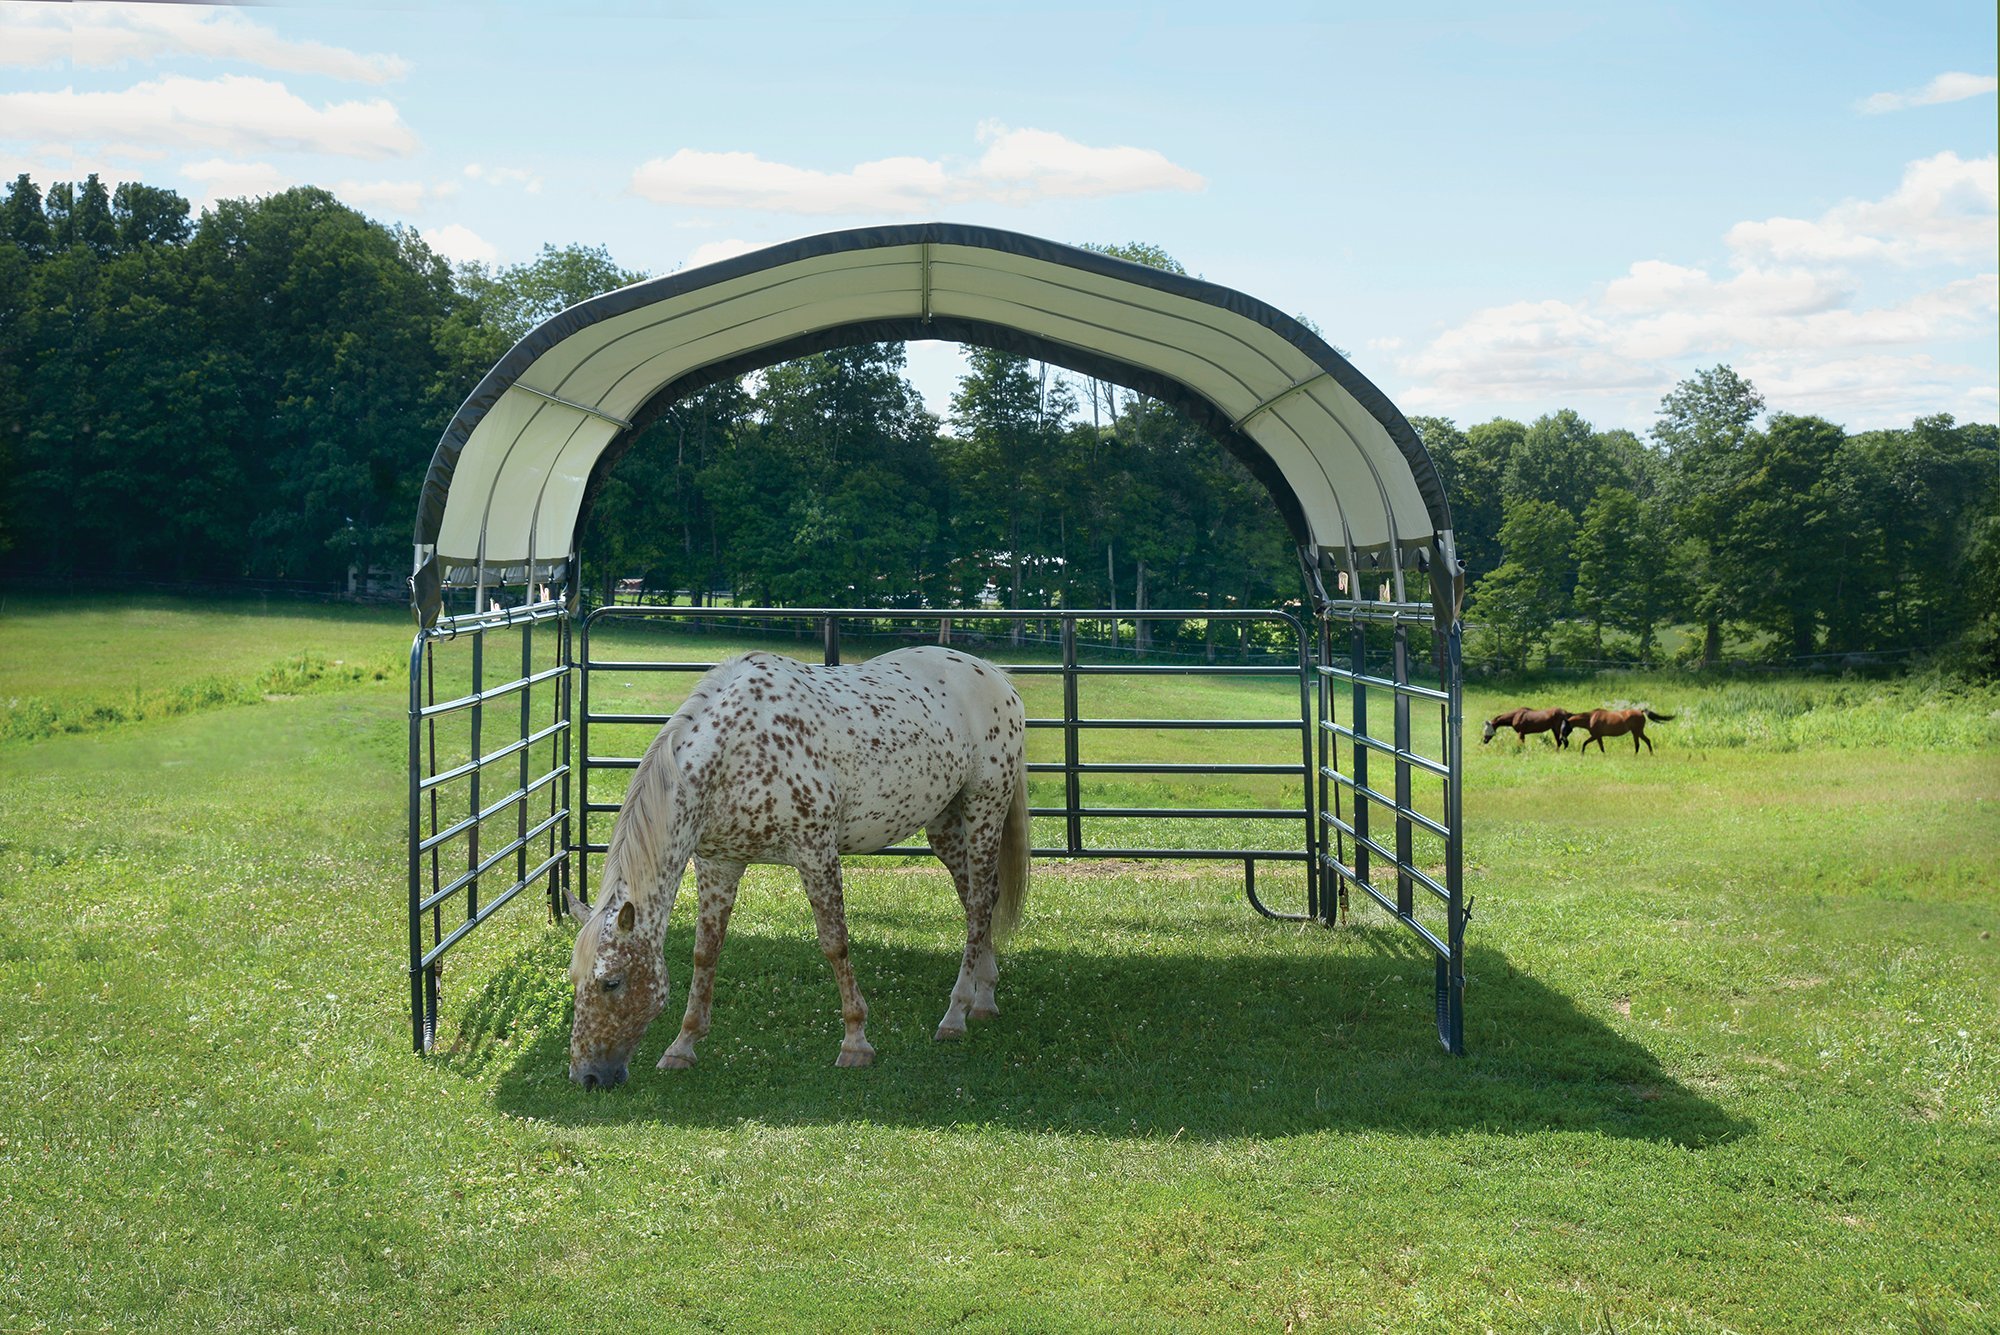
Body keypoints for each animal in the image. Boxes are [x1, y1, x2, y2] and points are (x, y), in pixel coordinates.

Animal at [564, 639, 1032, 1087]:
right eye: (574, 980)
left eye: (612, 982)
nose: (588, 1076)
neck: (733, 755)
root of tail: (996, 677)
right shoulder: (718, 864)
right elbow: (705, 952)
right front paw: (683, 1045)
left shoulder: (815, 853)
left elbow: (835, 943)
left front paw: (856, 1041)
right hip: (945, 823)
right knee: (977, 900)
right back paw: (984, 999)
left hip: (983, 809)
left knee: (979, 905)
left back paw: (955, 1014)